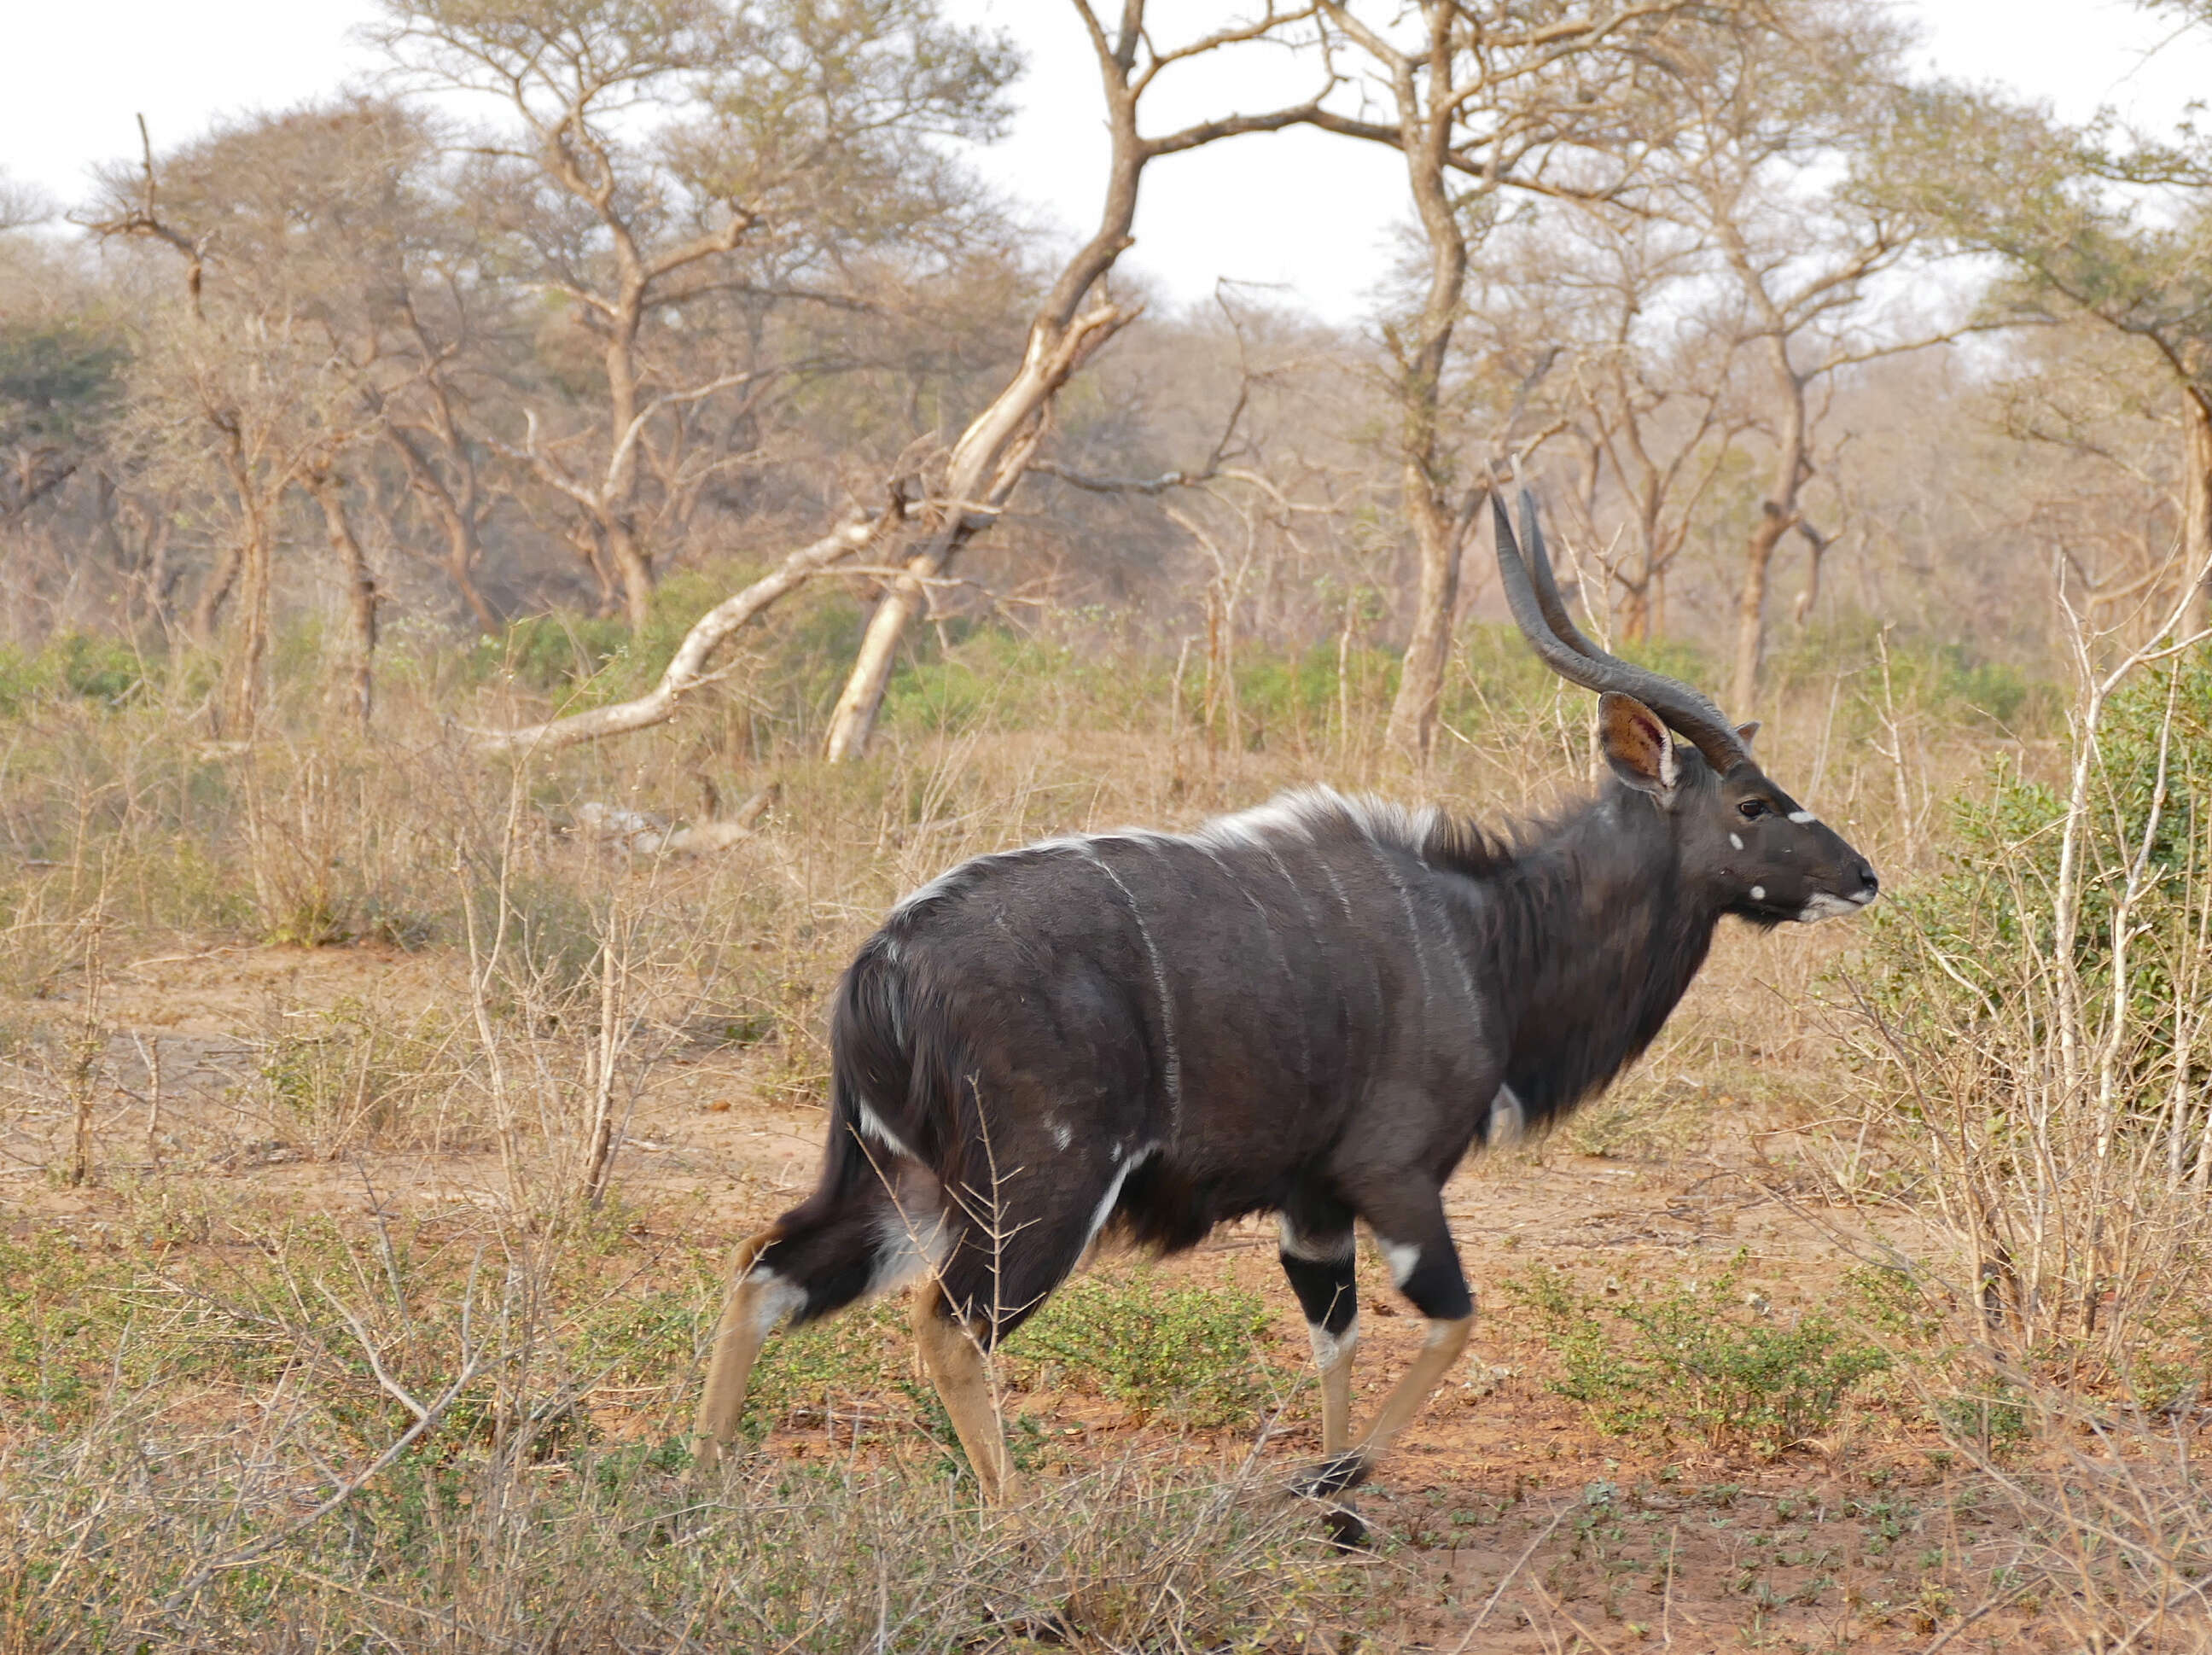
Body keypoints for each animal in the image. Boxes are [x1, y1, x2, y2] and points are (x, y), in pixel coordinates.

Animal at [690, 488, 1866, 1513]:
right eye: (1755, 804)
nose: (1863, 875)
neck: (1488, 936)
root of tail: (882, 964)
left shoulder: (1314, 1203)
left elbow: (1334, 1333)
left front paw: (1337, 1510)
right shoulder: (1393, 1176)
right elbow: (1452, 1320)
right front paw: (1332, 1483)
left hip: (900, 1179)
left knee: (765, 1270)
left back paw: (698, 1481)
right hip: (1042, 1186)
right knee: (947, 1324)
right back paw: (1016, 1522)